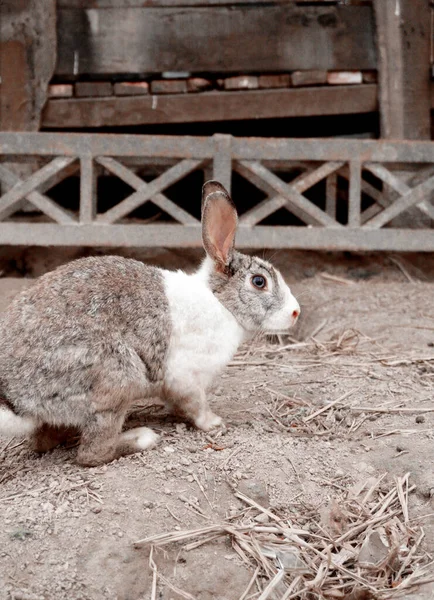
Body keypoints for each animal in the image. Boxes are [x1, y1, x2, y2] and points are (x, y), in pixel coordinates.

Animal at [0, 180, 298, 466]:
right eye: (259, 282)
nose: (295, 312)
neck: (220, 302)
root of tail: (15, 399)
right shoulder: (185, 376)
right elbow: (195, 404)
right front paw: (214, 423)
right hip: (117, 377)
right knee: (91, 454)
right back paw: (142, 438)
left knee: (44, 441)